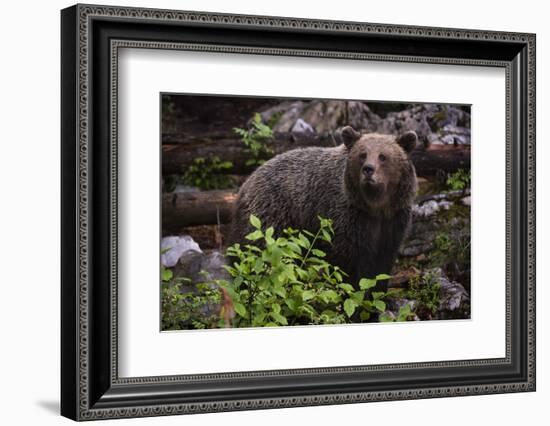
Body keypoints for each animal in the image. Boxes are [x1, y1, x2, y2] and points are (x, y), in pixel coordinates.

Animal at [229, 125, 418, 290]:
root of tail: (246, 183)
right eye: (363, 155)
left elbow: (381, 266)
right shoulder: (347, 218)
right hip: (270, 216)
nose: (368, 169)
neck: (375, 206)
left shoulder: (393, 221)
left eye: (383, 156)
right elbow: (348, 265)